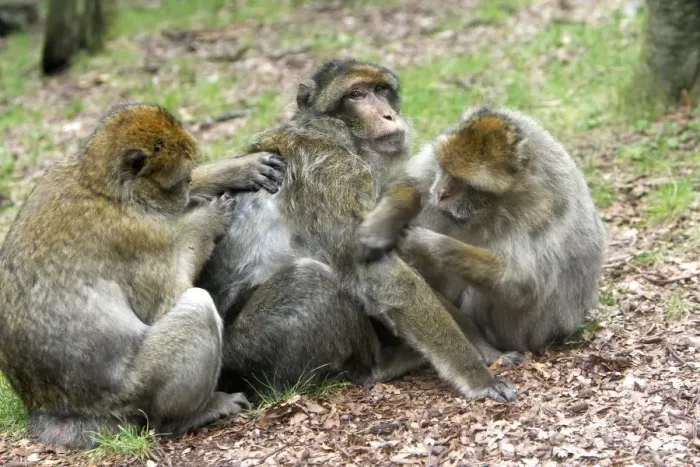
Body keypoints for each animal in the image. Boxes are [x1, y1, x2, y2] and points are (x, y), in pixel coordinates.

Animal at [0, 103, 287, 449]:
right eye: (177, 181)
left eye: (188, 177)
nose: (186, 191)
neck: (104, 189)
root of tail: (53, 411)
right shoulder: (140, 234)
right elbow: (168, 299)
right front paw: (205, 221)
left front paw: (236, 170)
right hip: (135, 392)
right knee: (197, 308)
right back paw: (191, 415)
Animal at [197, 59, 517, 403]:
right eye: (356, 95)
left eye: (380, 90)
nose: (388, 115)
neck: (341, 133)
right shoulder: (332, 170)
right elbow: (383, 274)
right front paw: (477, 376)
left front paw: (487, 350)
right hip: (248, 349)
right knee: (310, 278)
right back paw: (381, 367)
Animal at [356, 106, 607, 360]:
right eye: (445, 170)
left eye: (463, 182)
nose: (441, 192)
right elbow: (411, 183)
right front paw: (380, 226)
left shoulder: (542, 210)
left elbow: (522, 283)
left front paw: (425, 244)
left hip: (523, 333)